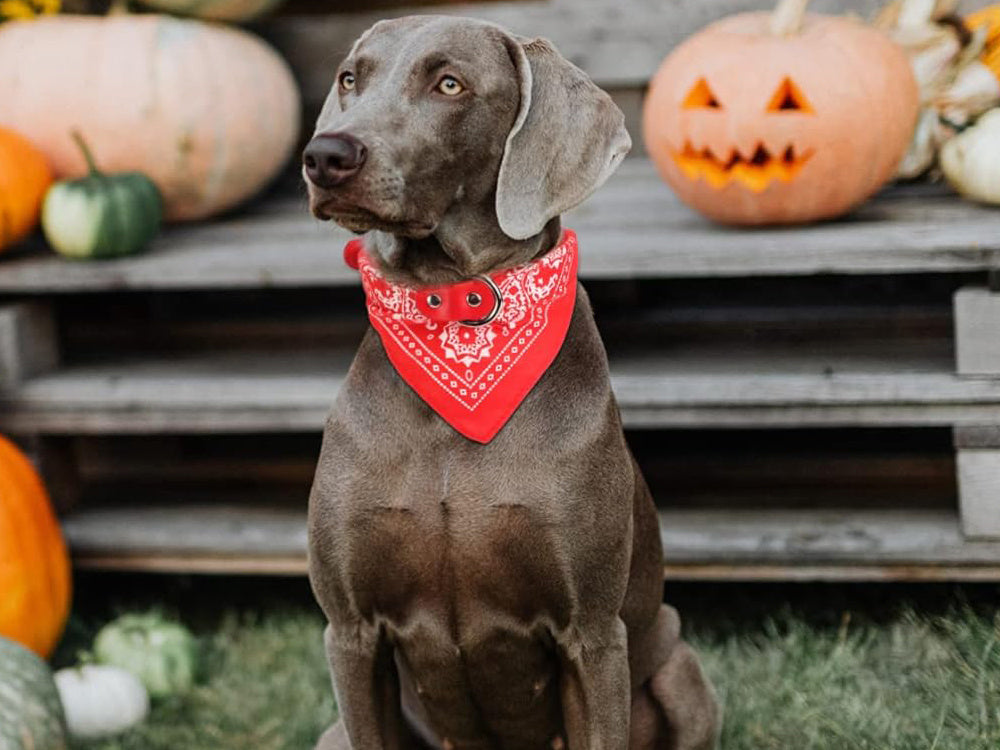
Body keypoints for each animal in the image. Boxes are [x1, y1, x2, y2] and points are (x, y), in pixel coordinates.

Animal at [302, 13, 720, 750]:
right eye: (351, 78)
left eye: (449, 84)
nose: (326, 155)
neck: (456, 317)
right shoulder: (350, 631)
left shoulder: (591, 634)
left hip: (683, 676)